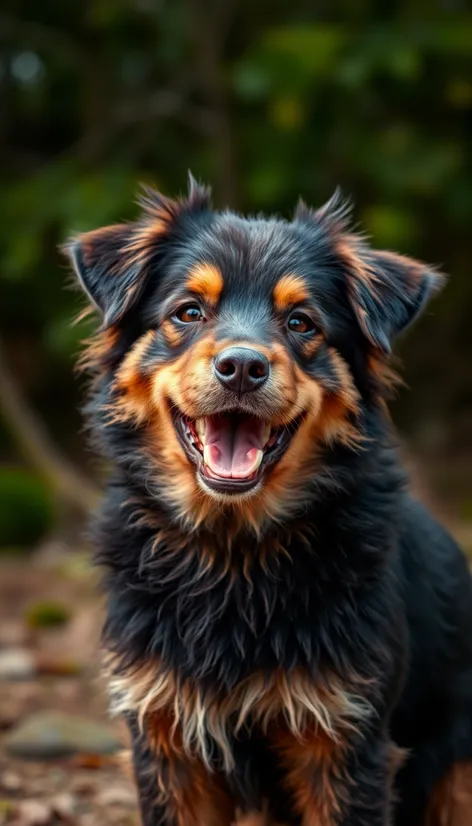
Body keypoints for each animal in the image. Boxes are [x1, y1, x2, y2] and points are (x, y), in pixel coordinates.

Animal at [64, 177, 472, 820]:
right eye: (188, 311)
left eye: (301, 322)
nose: (241, 366)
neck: (233, 549)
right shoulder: (168, 741)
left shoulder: (345, 742)